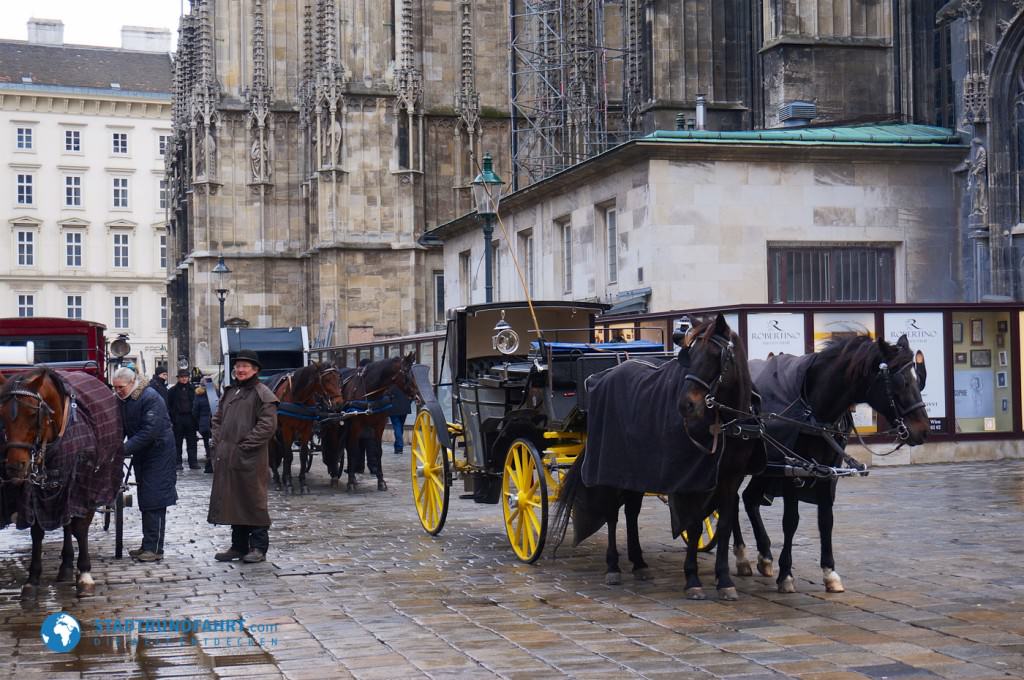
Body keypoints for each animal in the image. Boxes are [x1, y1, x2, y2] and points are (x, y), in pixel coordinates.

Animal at [0, 368, 123, 598]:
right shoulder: (35, 490)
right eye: (1, 415)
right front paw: (32, 579)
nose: (14, 466)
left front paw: (84, 574)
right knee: (66, 522)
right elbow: (37, 531)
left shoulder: (83, 485)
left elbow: (80, 528)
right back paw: (65, 565)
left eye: (33, 415)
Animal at [270, 360, 342, 493]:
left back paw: (283, 477)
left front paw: (302, 483)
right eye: (326, 380)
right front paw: (289, 484)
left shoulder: (306, 429)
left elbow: (303, 454)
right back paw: (277, 480)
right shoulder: (287, 428)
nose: (339, 403)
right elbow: (289, 455)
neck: (298, 398)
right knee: (273, 452)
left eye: (338, 377)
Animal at [321, 352, 413, 491]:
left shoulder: (379, 426)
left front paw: (381, 480)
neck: (371, 394)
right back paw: (335, 475)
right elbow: (353, 450)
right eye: (407, 374)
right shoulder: (355, 426)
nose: (416, 394)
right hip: (335, 424)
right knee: (335, 445)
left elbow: (377, 451)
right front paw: (351, 481)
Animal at [552, 315, 761, 602]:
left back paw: (639, 563)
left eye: (714, 354)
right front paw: (692, 578)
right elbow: (694, 524)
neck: (725, 421)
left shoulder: (731, 477)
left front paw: (725, 580)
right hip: (609, 466)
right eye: (689, 354)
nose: (686, 405)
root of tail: (606, 374)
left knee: (631, 511)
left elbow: (725, 524)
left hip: (636, 469)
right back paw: (613, 566)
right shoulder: (690, 480)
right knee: (612, 513)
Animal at [733, 337, 933, 593]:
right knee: (731, 500)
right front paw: (786, 574)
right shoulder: (793, 469)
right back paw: (741, 556)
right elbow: (791, 521)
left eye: (919, 379)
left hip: (764, 467)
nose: (923, 430)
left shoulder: (827, 470)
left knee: (748, 499)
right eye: (901, 381)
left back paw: (764, 556)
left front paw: (829, 572)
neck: (813, 412)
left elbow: (826, 520)